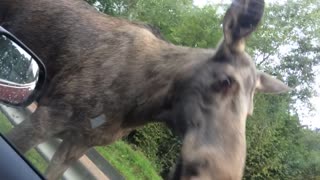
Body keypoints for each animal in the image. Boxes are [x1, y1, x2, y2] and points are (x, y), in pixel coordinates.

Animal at [0, 0, 290, 179]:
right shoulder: (49, 115)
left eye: (250, 111)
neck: (139, 105)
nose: (216, 174)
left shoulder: (79, 142)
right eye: (226, 81)